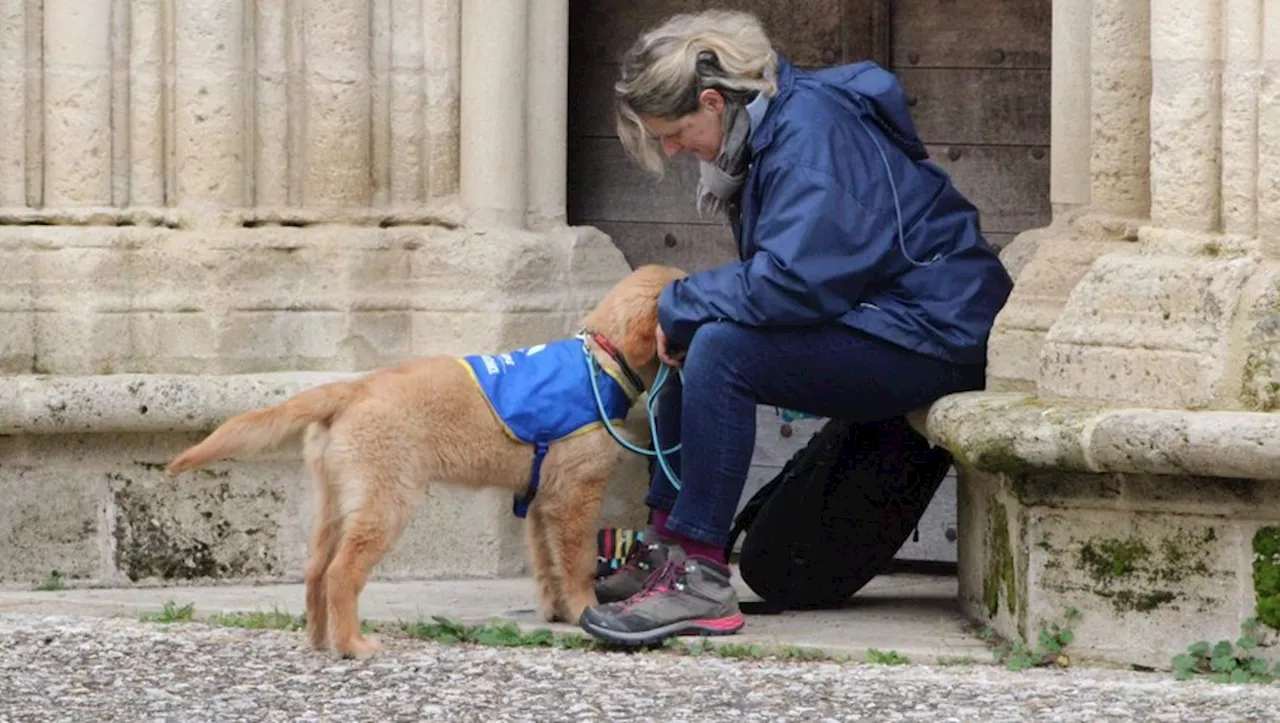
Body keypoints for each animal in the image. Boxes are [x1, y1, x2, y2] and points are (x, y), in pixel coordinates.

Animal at [170, 262, 691, 655]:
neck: (601, 358)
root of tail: (352, 388)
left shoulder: (540, 498)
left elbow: (547, 565)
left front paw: (559, 612)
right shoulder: (575, 496)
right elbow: (578, 563)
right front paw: (586, 609)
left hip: (335, 499)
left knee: (316, 569)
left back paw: (320, 640)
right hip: (387, 501)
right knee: (341, 572)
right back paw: (353, 645)